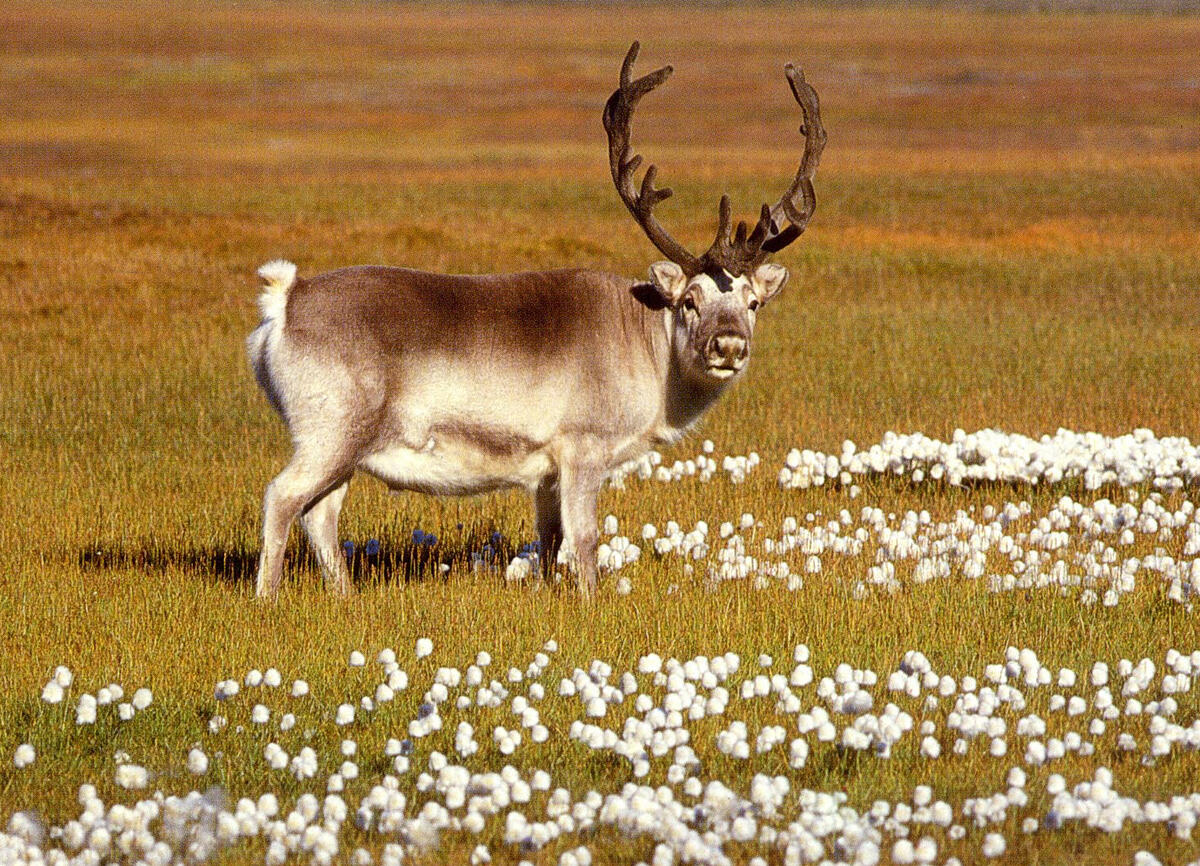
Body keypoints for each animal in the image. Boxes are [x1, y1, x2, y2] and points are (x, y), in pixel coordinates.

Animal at [247, 42, 825, 599]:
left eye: (753, 303)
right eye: (690, 300)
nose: (728, 345)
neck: (649, 347)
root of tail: (286, 300)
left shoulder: (544, 471)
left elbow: (550, 538)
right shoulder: (583, 447)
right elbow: (585, 538)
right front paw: (592, 602)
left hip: (345, 447)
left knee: (320, 514)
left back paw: (345, 596)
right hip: (330, 433)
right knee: (283, 497)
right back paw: (266, 598)